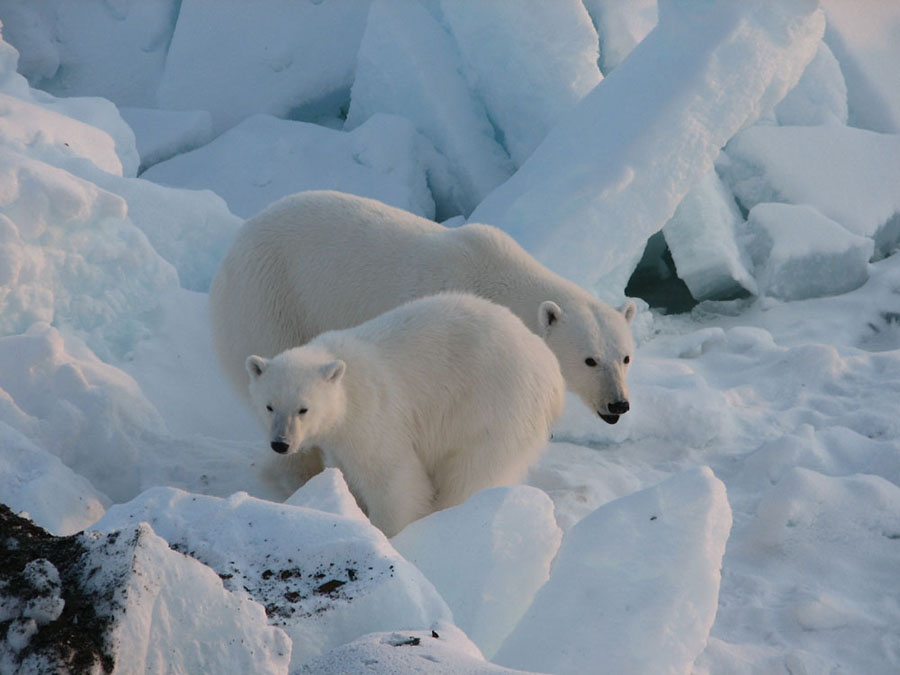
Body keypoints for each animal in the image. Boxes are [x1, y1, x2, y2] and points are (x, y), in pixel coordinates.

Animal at [211, 190, 636, 426]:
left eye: (626, 357)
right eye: (589, 360)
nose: (619, 403)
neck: (499, 278)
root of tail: (235, 243)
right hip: (271, 295)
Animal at [244, 293, 565, 537]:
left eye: (303, 408)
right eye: (269, 406)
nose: (281, 444)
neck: (346, 379)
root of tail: (551, 369)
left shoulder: (373, 415)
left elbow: (394, 479)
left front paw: (385, 534)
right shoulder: (339, 441)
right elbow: (346, 471)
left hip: (493, 406)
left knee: (473, 470)